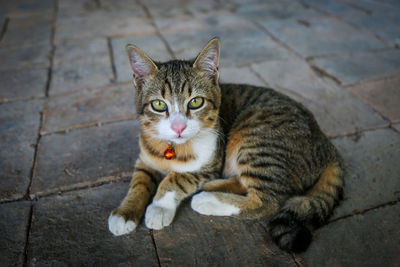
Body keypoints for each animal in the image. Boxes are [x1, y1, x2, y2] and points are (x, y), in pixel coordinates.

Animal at [107, 37, 344, 253]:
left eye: (196, 102)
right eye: (158, 104)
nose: (178, 127)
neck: (173, 148)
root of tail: (327, 145)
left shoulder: (211, 164)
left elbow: (176, 178)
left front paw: (159, 206)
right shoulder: (145, 158)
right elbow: (139, 182)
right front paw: (125, 213)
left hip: (256, 137)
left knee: (268, 202)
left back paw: (207, 199)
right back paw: (214, 187)